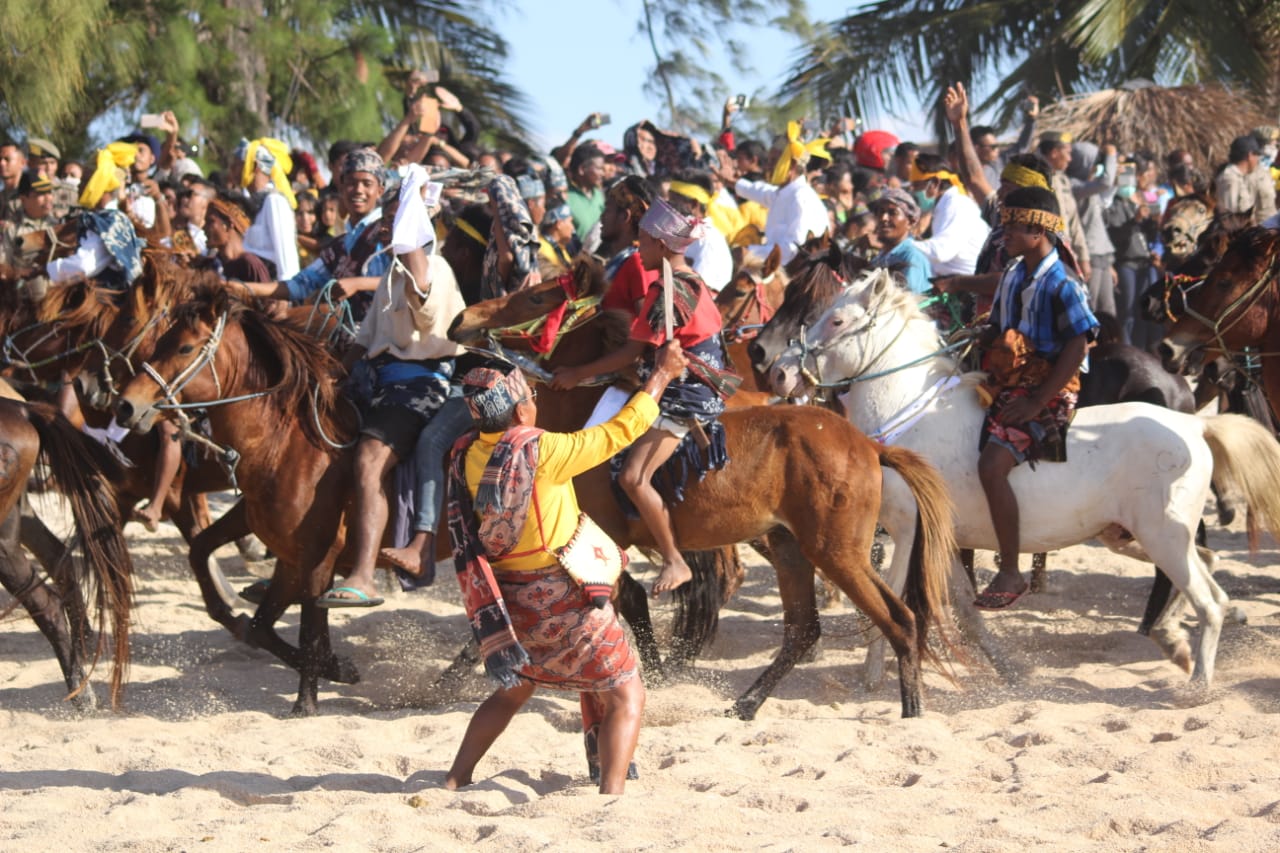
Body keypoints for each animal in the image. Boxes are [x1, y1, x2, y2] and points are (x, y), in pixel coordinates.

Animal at [445, 258, 957, 717]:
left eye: (535, 297)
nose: (461, 320)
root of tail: (868, 445)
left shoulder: (601, 536)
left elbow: (621, 600)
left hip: (838, 552)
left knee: (901, 622)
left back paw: (911, 710)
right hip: (790, 545)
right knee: (803, 629)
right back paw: (747, 703)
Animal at [768, 266, 1280, 686]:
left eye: (836, 321)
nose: (779, 372)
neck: (912, 414)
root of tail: (1194, 425)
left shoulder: (908, 529)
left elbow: (890, 599)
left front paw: (873, 676)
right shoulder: (943, 539)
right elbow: (964, 610)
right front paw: (1008, 669)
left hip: (1163, 536)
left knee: (1207, 599)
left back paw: (1196, 685)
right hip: (1132, 536)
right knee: (1210, 574)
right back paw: (1175, 641)